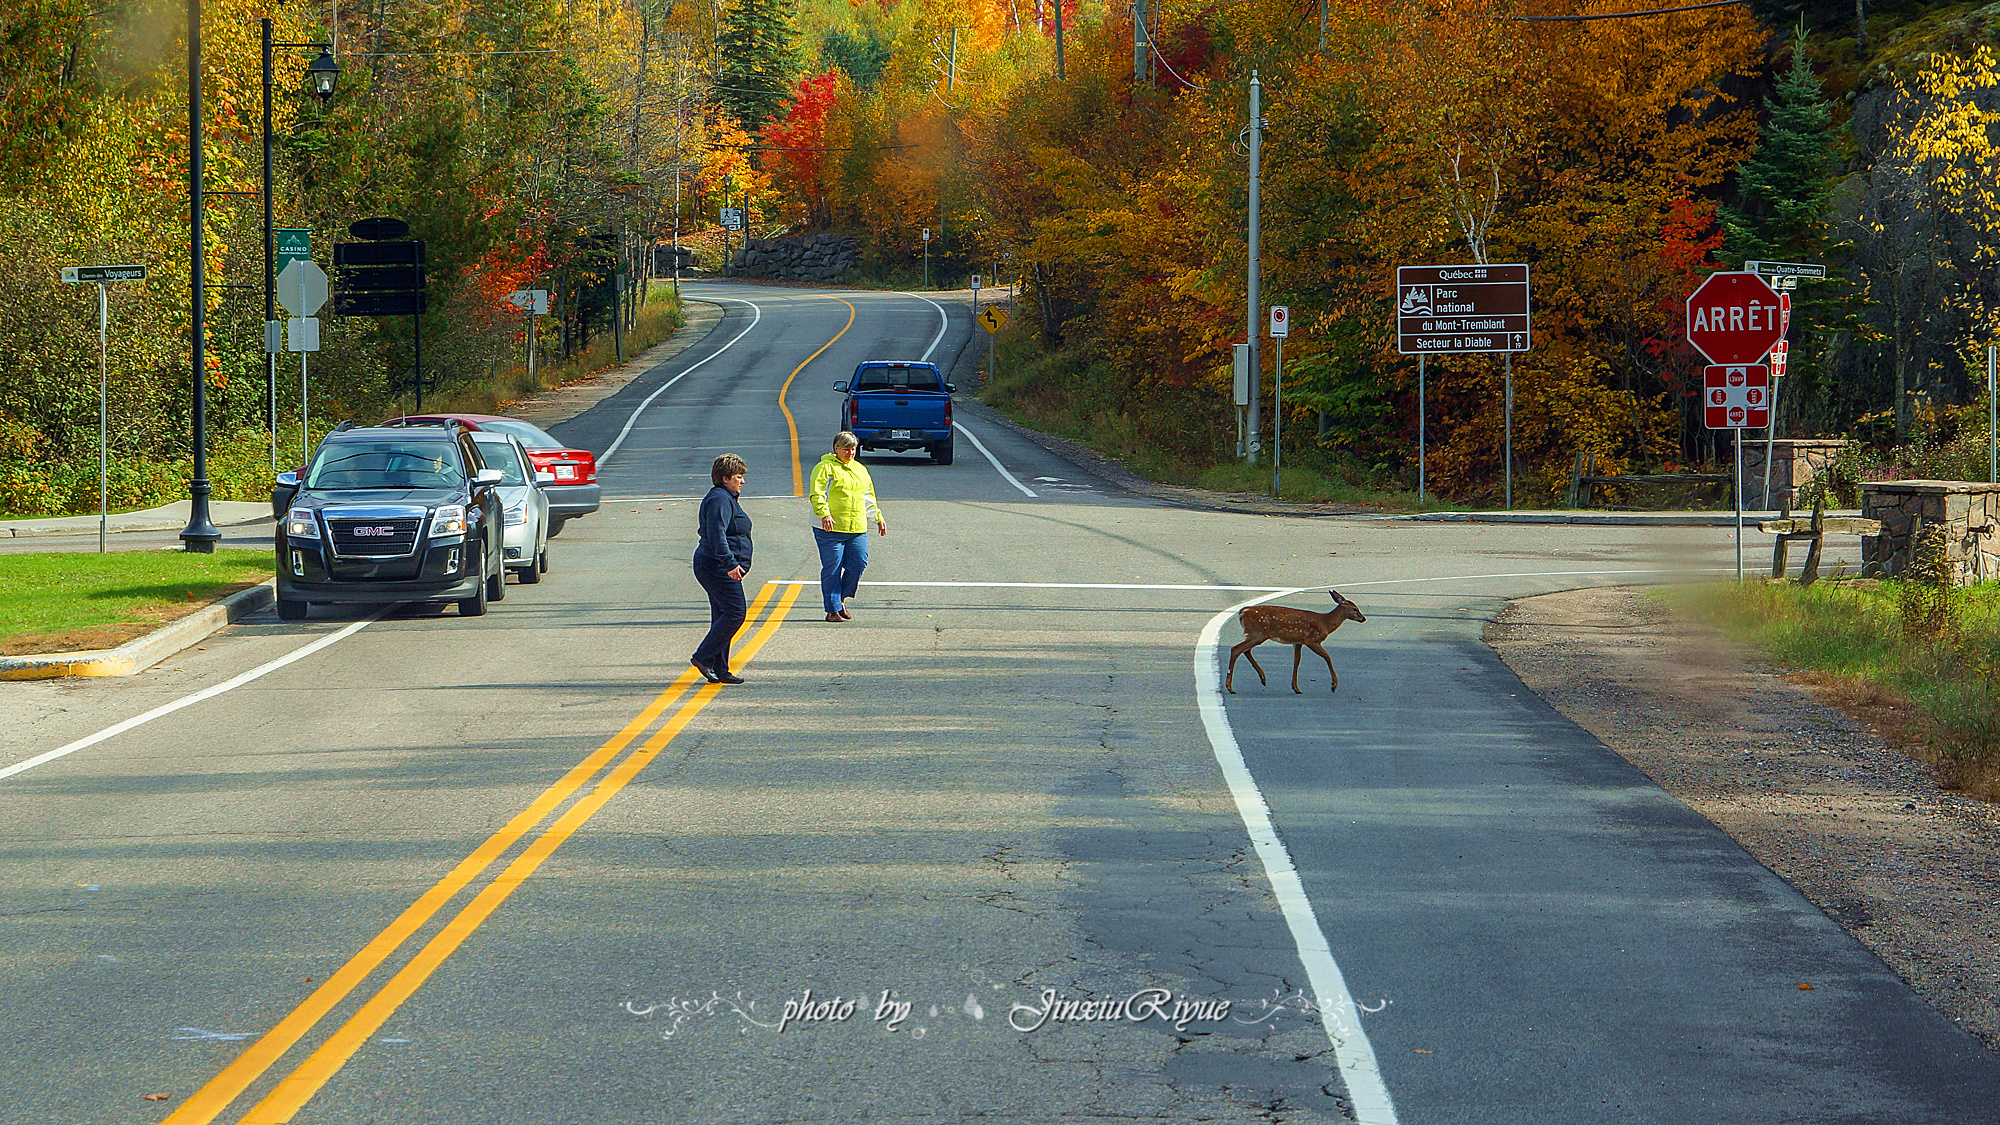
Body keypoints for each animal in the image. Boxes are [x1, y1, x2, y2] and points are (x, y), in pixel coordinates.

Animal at [1224, 588, 1368, 692]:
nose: (1363, 618)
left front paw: (1296, 687)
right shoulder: (1312, 639)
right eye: (1355, 609)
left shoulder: (1298, 642)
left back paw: (1262, 678)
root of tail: (1242, 612)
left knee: (1245, 650)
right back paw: (1230, 687)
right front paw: (1334, 685)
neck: (1325, 623)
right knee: (1236, 649)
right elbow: (1327, 656)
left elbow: (1297, 661)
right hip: (1258, 633)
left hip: (1255, 634)